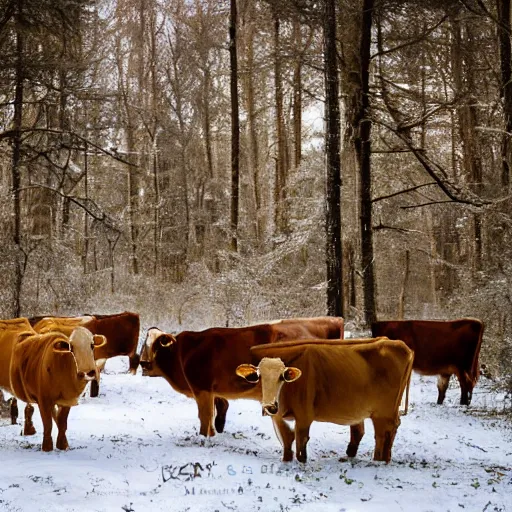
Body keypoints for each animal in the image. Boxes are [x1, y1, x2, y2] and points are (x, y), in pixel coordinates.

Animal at [140, 316, 344, 436]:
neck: (183, 352)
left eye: (157, 345)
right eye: (144, 344)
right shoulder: (213, 391)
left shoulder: (202, 389)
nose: (143, 363)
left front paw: (204, 437)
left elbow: (205, 416)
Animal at [238, 340, 414, 464]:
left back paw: (380, 460)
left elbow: (301, 445)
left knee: (384, 433)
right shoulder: (277, 418)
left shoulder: (304, 416)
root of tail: (401, 345)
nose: (269, 406)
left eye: (282, 377)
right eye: (259, 377)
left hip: (383, 413)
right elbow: (287, 441)